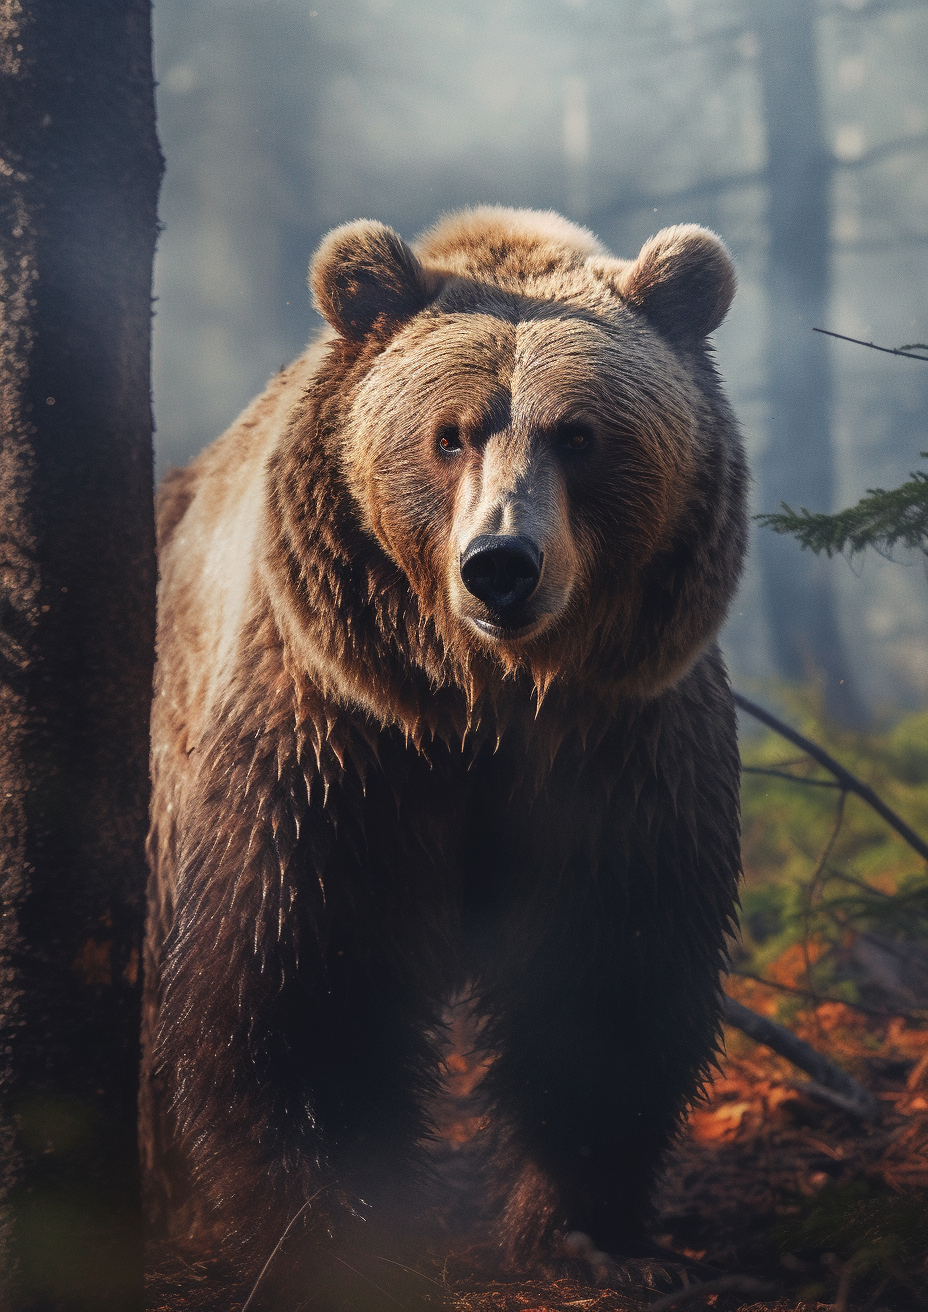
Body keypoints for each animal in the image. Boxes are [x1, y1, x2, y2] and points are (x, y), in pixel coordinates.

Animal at [142, 206, 747, 1306]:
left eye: (580, 434)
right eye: (449, 433)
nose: (501, 565)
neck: (487, 703)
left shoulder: (616, 744)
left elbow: (611, 969)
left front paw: (581, 1223)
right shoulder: (340, 734)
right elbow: (302, 963)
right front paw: (324, 1225)